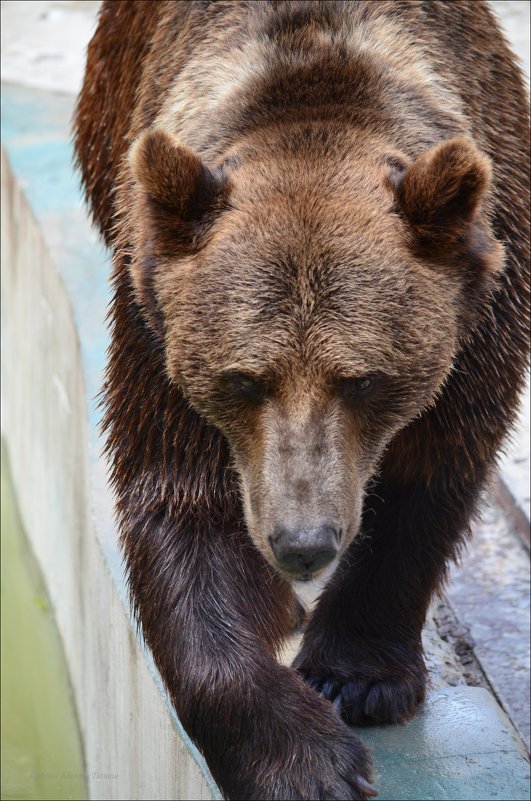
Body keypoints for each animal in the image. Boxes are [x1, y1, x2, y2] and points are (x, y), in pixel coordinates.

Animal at [76, 1, 531, 800]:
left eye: (364, 379)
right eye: (243, 378)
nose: (302, 541)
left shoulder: (481, 317)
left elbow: (428, 476)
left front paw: (356, 676)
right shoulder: (154, 327)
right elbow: (181, 504)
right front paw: (307, 761)